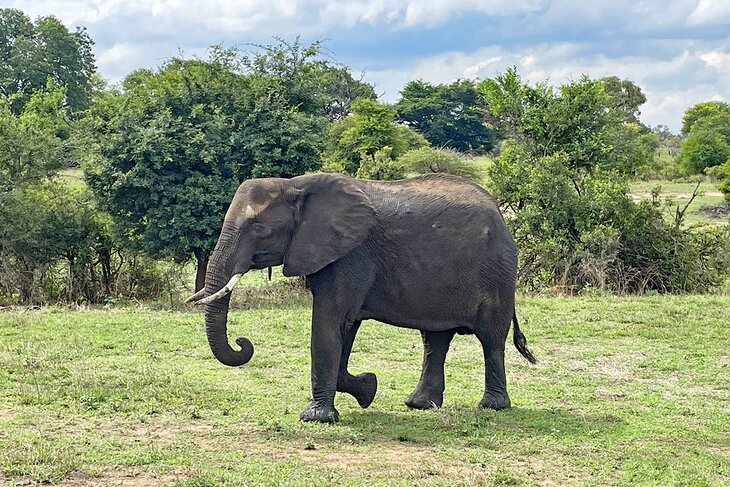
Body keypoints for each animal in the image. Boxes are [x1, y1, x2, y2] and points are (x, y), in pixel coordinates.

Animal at [185, 173, 532, 424]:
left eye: (258, 228)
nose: (243, 342)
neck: (295, 184)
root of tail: (500, 214)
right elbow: (344, 328)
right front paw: (368, 388)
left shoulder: (351, 254)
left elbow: (329, 322)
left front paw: (316, 418)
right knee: (435, 338)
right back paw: (419, 405)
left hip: (497, 271)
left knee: (491, 338)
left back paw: (492, 407)